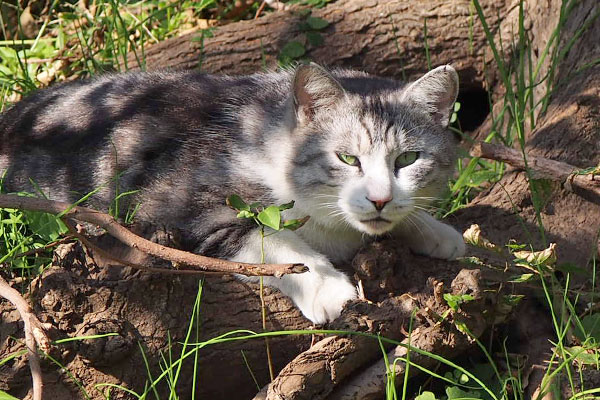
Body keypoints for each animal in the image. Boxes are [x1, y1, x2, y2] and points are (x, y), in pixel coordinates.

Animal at [0, 63, 466, 324]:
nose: (380, 199)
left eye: (408, 158)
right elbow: (276, 243)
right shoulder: (188, 213)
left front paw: (439, 232)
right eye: (347, 158)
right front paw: (330, 290)